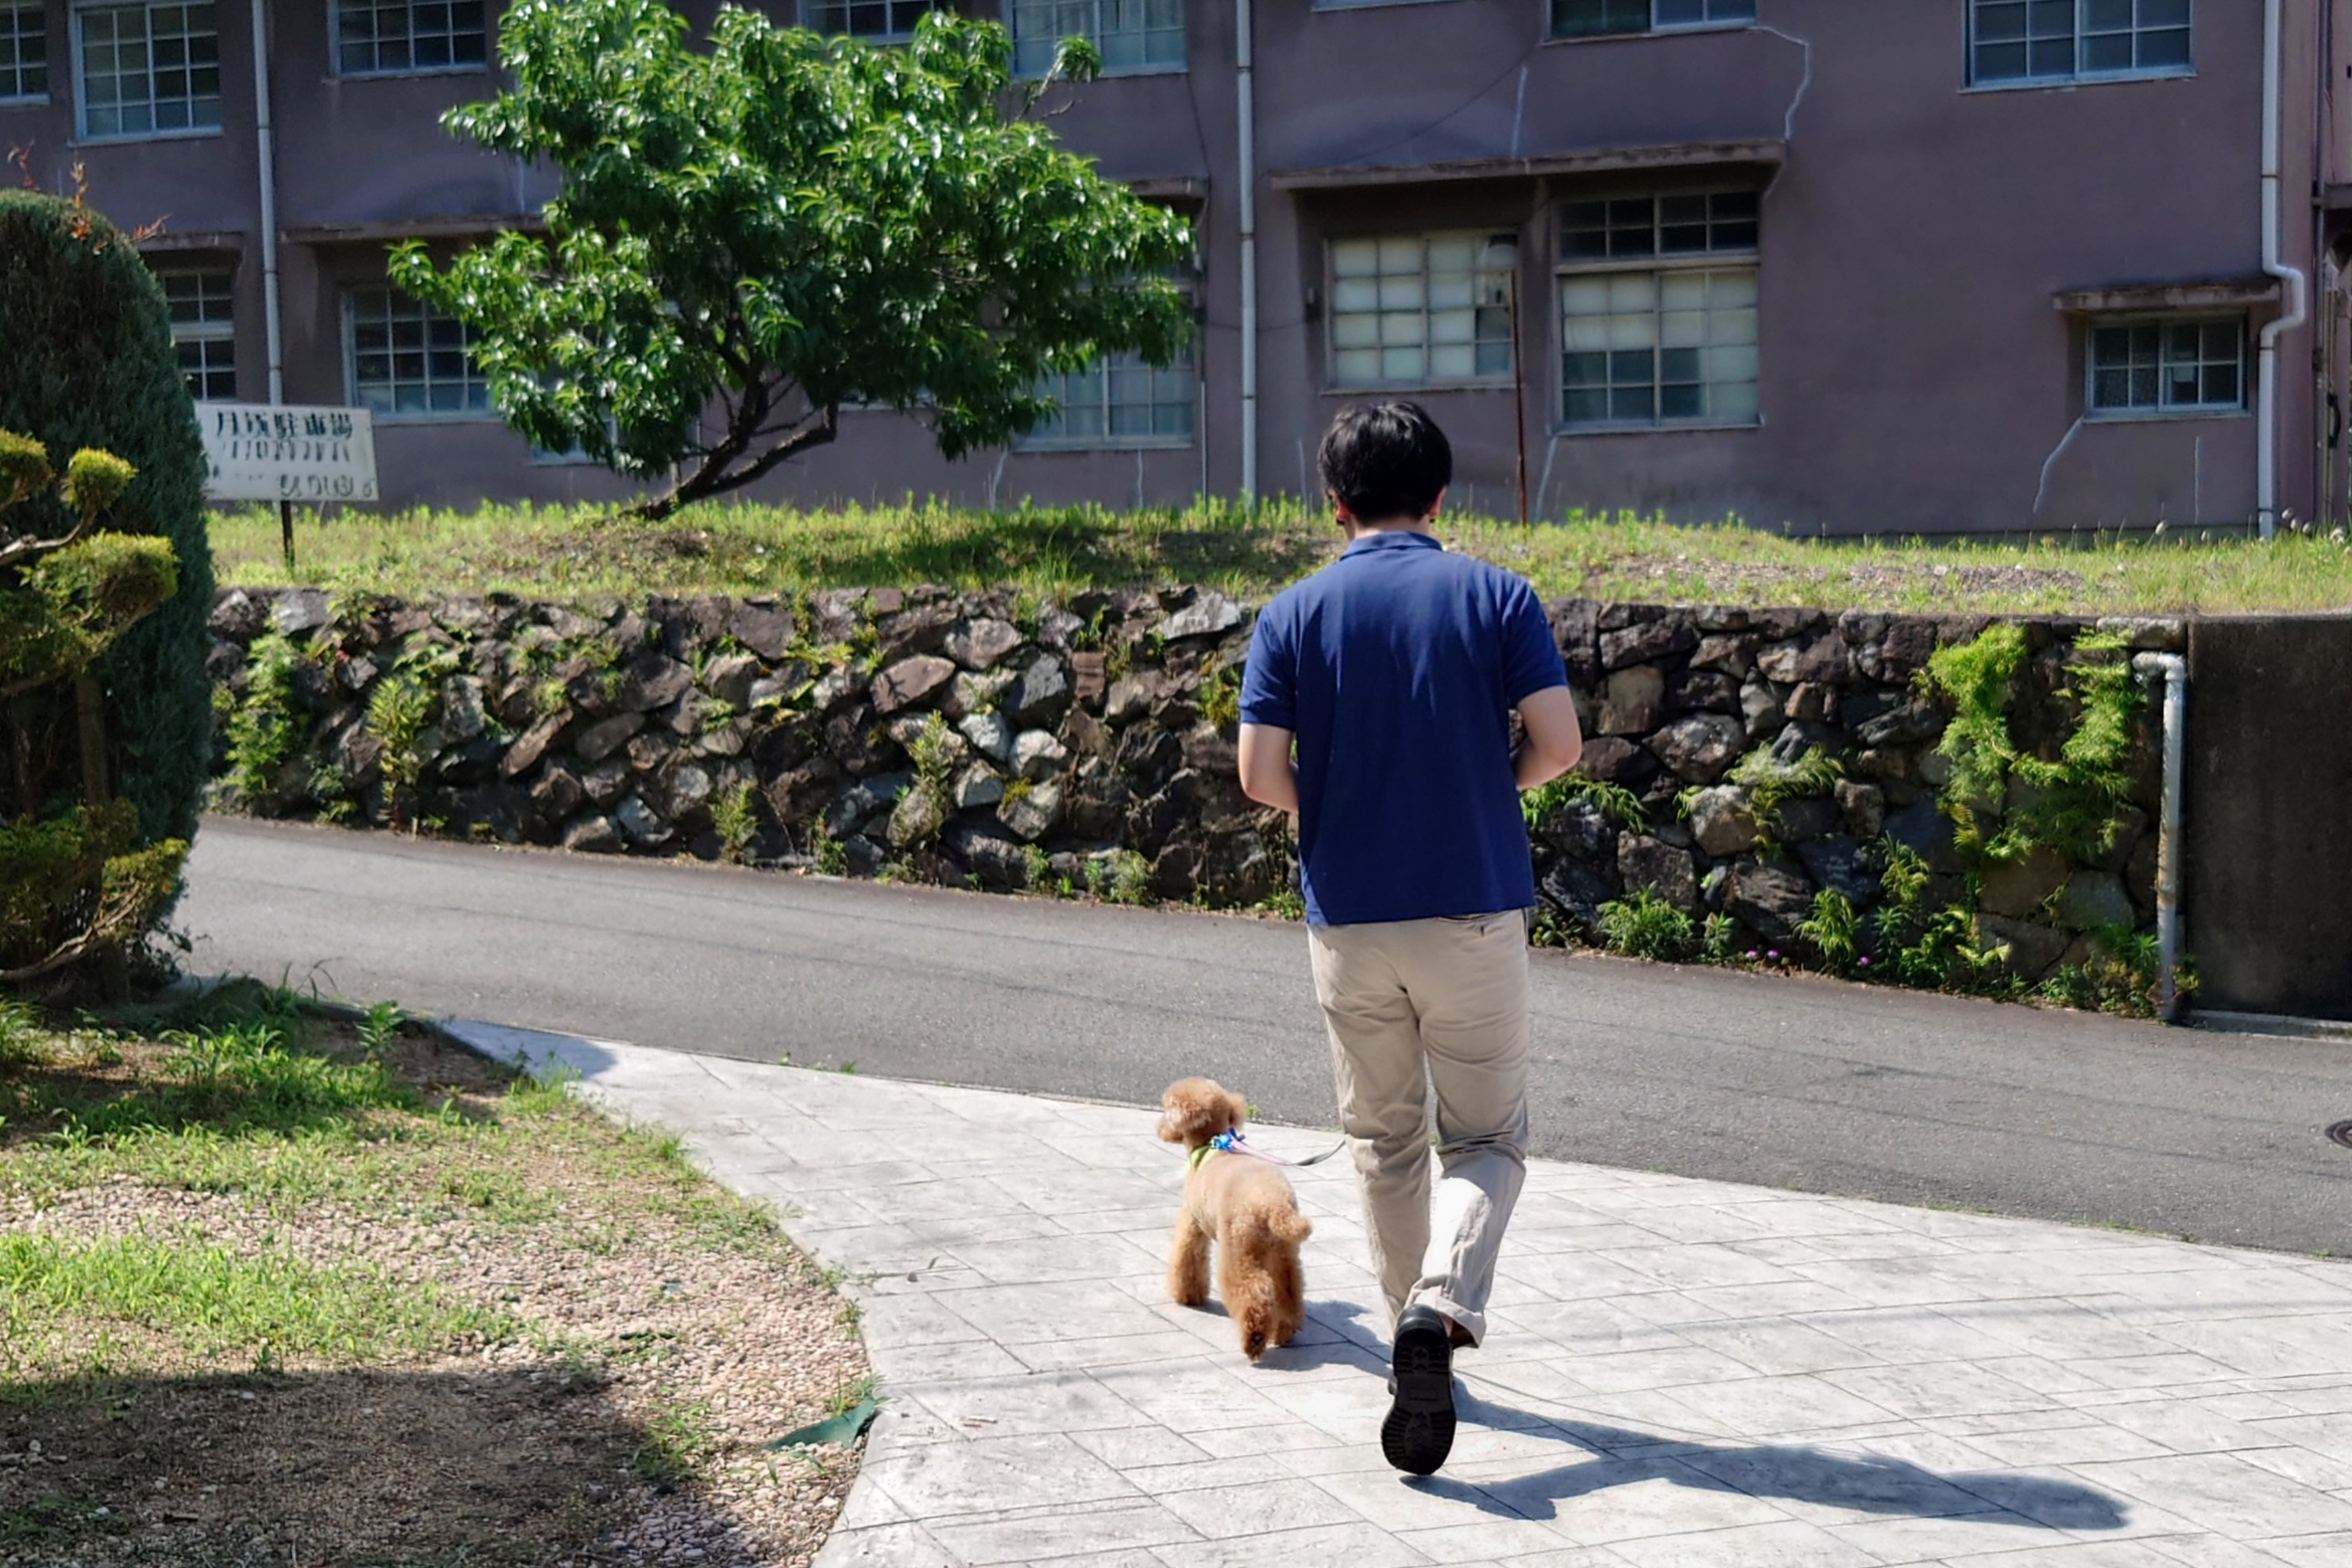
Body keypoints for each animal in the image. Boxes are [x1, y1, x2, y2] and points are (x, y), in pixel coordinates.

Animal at [1158, 1077, 1311, 1360]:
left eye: (1168, 1109)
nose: (1160, 1128)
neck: (1212, 1145)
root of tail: (1274, 1205)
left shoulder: (1193, 1220)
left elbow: (1188, 1258)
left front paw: (1187, 1296)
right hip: (1284, 1252)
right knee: (1289, 1290)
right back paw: (1283, 1332)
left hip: (1239, 1246)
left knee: (1254, 1291)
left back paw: (1255, 1340)